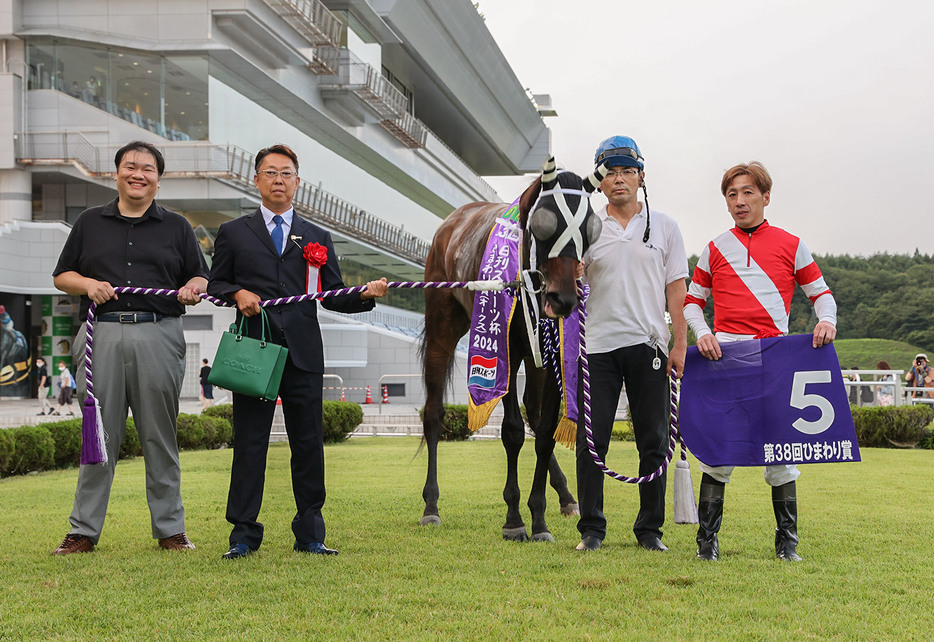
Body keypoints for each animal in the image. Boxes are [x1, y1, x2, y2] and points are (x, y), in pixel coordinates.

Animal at [422, 158, 608, 536]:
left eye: (590, 228)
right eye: (544, 223)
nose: (563, 298)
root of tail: (452, 222)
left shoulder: (548, 352)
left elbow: (545, 432)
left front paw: (538, 518)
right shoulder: (505, 347)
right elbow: (511, 431)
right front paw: (514, 518)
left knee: (534, 413)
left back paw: (566, 496)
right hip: (441, 328)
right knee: (433, 412)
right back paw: (431, 504)